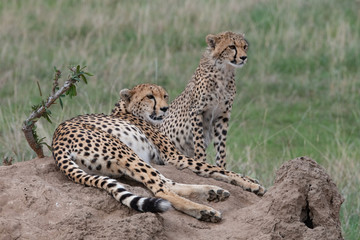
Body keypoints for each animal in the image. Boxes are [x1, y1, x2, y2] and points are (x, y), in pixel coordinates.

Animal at [52, 83, 264, 222]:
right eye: (150, 96)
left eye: (165, 96)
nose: (164, 108)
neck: (128, 110)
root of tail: (57, 141)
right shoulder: (175, 157)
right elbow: (217, 168)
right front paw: (252, 184)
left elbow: (215, 170)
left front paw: (248, 182)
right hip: (125, 151)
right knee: (162, 191)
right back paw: (205, 210)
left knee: (168, 183)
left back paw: (212, 192)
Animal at [162, 31, 249, 169]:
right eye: (232, 46)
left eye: (244, 46)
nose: (244, 57)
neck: (224, 70)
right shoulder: (197, 111)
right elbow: (199, 141)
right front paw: (201, 161)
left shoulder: (222, 116)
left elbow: (221, 147)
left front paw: (221, 167)